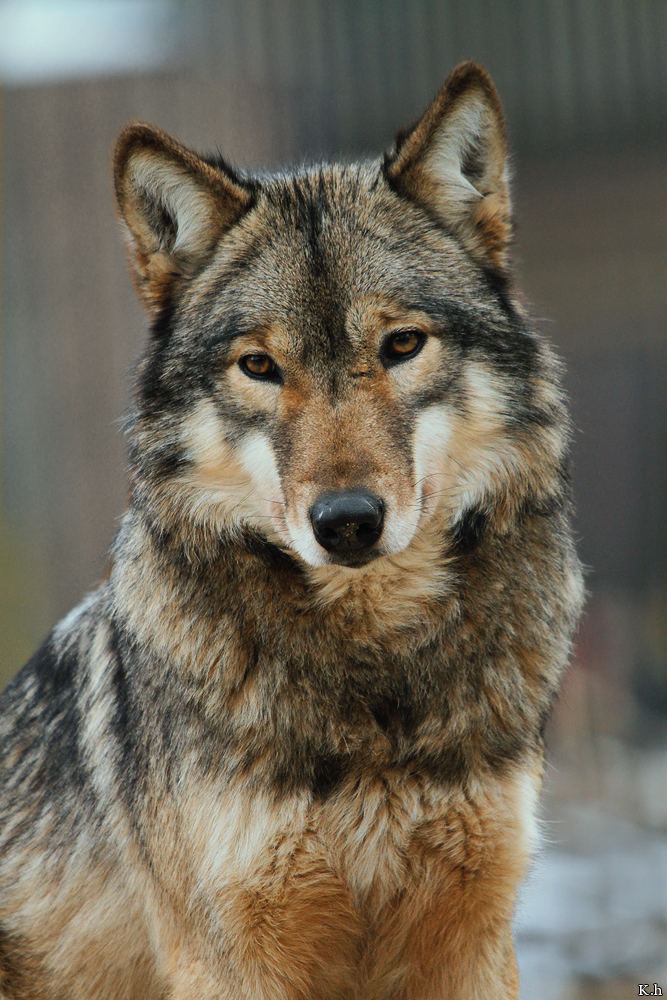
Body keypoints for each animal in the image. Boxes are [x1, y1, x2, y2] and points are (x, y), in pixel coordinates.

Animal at [0, 62, 583, 998]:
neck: (371, 673)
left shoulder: (472, 944)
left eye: (401, 345)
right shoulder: (231, 956)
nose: (346, 522)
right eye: (259, 367)